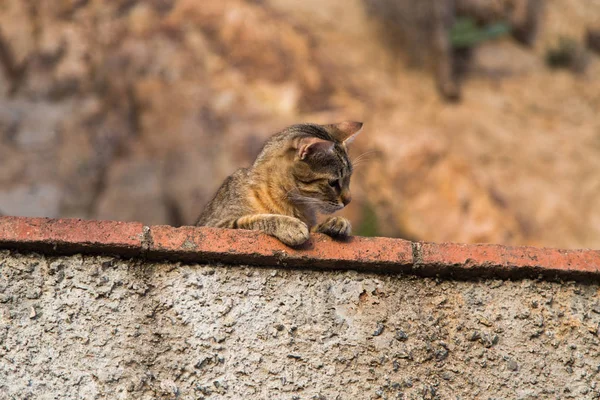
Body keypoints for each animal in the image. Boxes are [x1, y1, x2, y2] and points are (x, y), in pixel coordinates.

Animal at [196, 122, 360, 245]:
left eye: (349, 179)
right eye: (333, 182)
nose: (349, 200)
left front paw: (335, 222)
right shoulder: (217, 224)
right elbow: (254, 219)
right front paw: (290, 225)